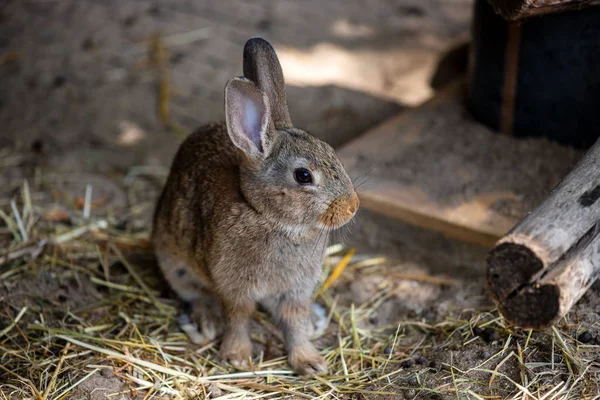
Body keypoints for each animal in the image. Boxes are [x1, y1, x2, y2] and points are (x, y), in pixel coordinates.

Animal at [152, 36, 358, 376]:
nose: (352, 206)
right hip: (174, 260)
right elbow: (238, 317)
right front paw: (235, 356)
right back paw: (204, 322)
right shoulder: (234, 287)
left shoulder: (295, 290)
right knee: (195, 293)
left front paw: (309, 362)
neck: (270, 218)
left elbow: (294, 322)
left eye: (331, 152)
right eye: (303, 176)